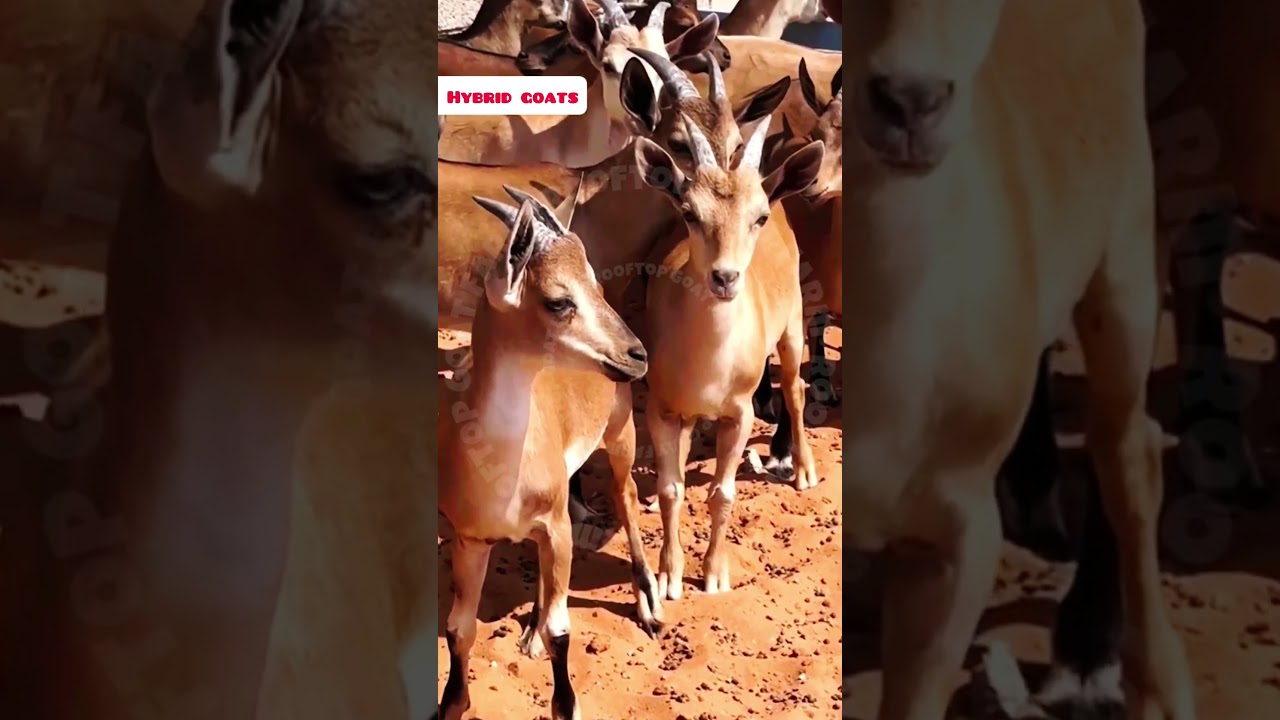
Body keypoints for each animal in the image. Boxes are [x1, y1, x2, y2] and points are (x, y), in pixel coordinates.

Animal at [438, 189, 653, 720]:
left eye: (595, 283)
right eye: (558, 301)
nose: (636, 354)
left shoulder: (555, 528)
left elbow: (562, 632)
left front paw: (566, 700)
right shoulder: (471, 540)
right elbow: (459, 630)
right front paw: (454, 702)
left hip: (621, 437)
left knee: (627, 497)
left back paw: (649, 607)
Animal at [623, 48, 825, 598]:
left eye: (757, 217)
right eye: (690, 212)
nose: (726, 277)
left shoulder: (739, 414)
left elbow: (722, 493)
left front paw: (713, 574)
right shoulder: (663, 407)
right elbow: (671, 489)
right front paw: (669, 575)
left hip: (793, 325)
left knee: (795, 388)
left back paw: (803, 469)